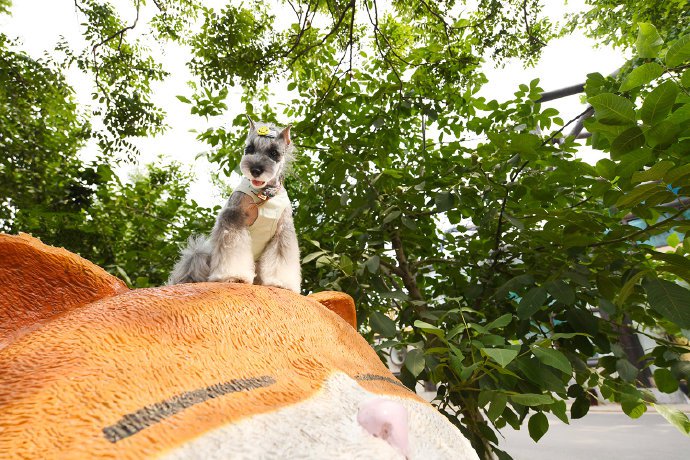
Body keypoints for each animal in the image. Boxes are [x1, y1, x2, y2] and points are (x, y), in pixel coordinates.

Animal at [168, 117, 300, 292]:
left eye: (274, 153)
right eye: (249, 149)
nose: (255, 170)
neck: (264, 192)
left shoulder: (283, 231)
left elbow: (281, 257)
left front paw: (281, 283)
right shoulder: (233, 218)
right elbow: (232, 251)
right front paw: (233, 277)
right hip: (199, 253)